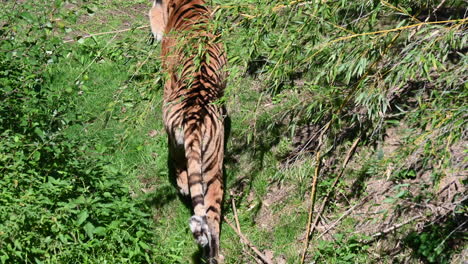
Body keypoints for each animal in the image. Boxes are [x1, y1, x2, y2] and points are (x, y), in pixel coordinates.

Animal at [147, 1, 226, 262]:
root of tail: (193, 117)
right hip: (213, 167)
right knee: (211, 218)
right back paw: (213, 255)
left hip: (173, 131)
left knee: (179, 164)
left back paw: (182, 185)